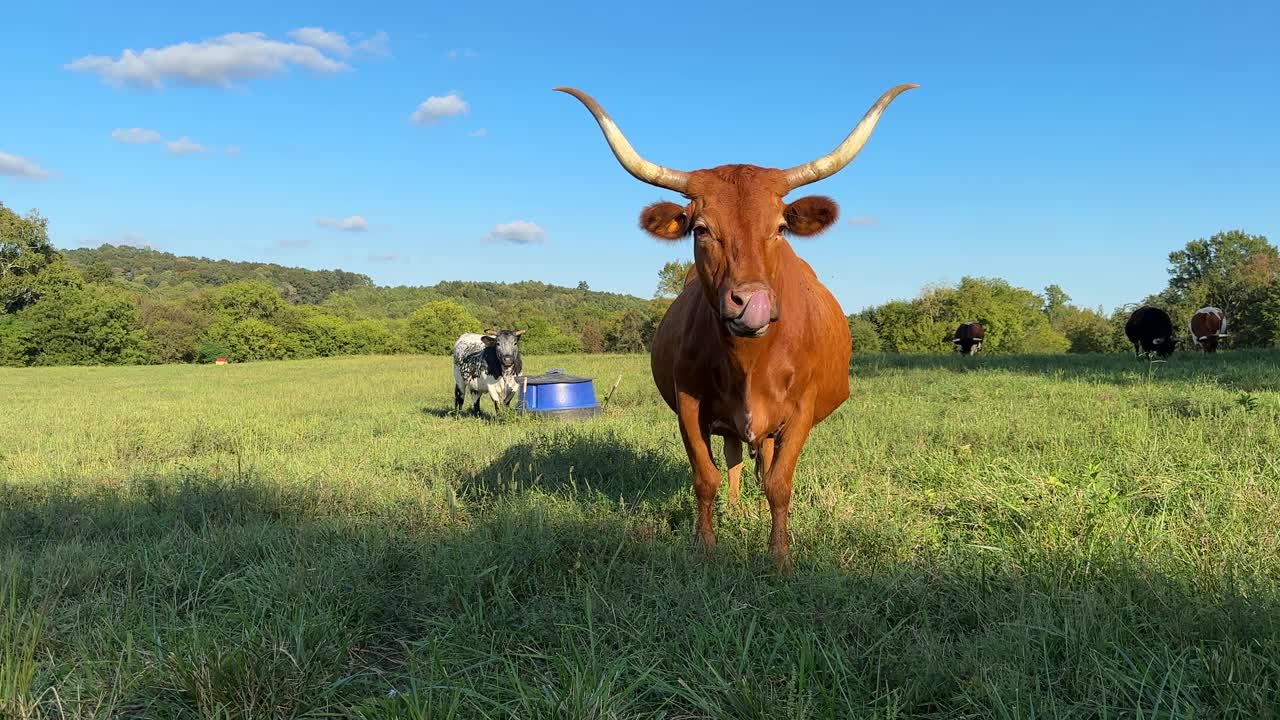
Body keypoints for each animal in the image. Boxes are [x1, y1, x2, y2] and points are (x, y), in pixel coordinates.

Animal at [560, 82, 921, 566]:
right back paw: (733, 509)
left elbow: (778, 483)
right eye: (700, 229)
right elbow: (706, 476)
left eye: (781, 227)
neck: (750, 362)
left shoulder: (802, 410)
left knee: (762, 460)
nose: (752, 302)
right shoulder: (689, 404)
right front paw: (707, 545)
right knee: (733, 459)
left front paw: (780, 555)